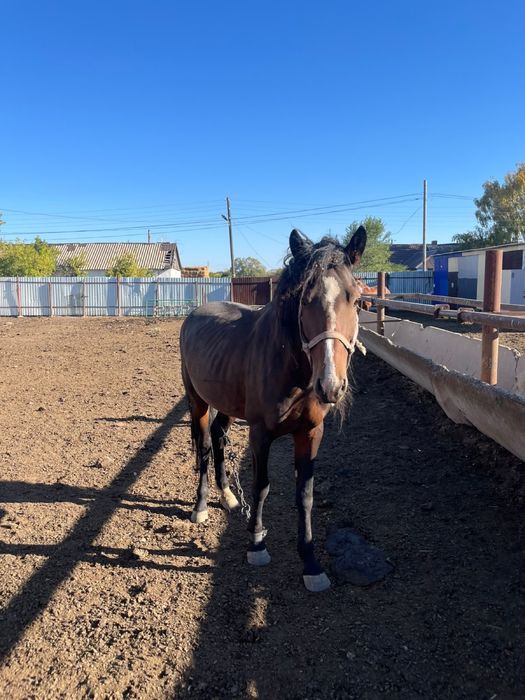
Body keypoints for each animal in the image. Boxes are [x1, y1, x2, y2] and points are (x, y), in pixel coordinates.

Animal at [180, 227, 367, 592]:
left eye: (355, 298)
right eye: (305, 299)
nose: (330, 385)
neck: (294, 370)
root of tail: (194, 315)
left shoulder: (311, 433)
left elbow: (305, 494)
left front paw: (310, 563)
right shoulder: (260, 433)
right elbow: (262, 485)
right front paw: (256, 543)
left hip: (226, 402)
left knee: (219, 438)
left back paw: (228, 496)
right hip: (198, 401)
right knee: (205, 446)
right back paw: (201, 506)